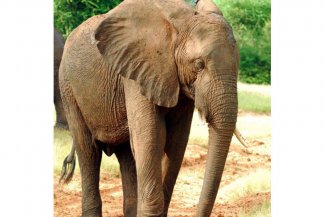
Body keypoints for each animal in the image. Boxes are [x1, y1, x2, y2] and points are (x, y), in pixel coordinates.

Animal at [58, 0, 246, 216]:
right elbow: (152, 137)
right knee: (88, 150)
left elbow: (175, 142)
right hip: (68, 88)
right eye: (199, 65)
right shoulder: (137, 72)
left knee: (127, 155)